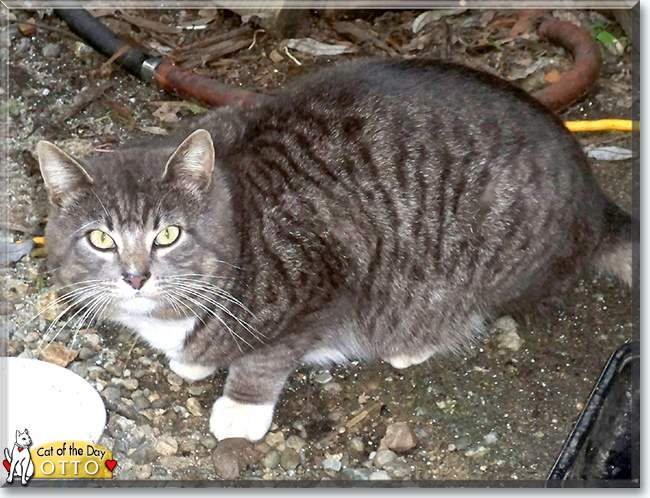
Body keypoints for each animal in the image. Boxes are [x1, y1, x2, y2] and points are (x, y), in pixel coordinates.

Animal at [36, 60, 632, 442]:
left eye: (168, 235)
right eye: (100, 238)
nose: (135, 276)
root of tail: (596, 202)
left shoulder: (325, 282)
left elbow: (267, 355)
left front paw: (240, 404)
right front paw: (194, 360)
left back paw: (415, 342)